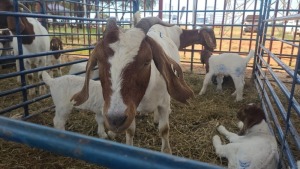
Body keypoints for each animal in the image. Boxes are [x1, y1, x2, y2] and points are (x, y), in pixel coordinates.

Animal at [71, 17, 193, 154]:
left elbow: (164, 129)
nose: (116, 119)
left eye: (147, 61)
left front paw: (167, 151)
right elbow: (130, 131)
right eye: (99, 61)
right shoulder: (132, 107)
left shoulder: (164, 103)